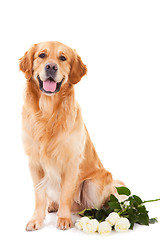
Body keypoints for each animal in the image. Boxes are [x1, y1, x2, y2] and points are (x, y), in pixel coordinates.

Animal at [19, 41, 124, 231]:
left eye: (62, 58)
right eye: (42, 55)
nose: (51, 67)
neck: (48, 112)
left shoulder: (71, 163)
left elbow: (66, 194)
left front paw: (64, 218)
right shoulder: (34, 162)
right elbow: (39, 195)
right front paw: (36, 219)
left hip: (93, 184)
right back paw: (53, 205)